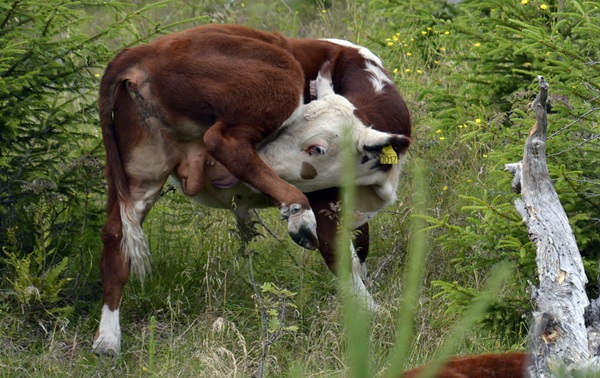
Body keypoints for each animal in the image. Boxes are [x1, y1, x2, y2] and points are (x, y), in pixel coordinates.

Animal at [95, 25, 412, 356]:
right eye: (289, 125)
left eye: (316, 148)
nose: (264, 154)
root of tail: (145, 49)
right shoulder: (327, 207)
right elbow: (345, 262)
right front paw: (374, 315)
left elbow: (361, 253)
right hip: (283, 73)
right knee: (222, 140)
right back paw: (297, 212)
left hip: (137, 171)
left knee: (115, 235)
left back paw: (107, 339)